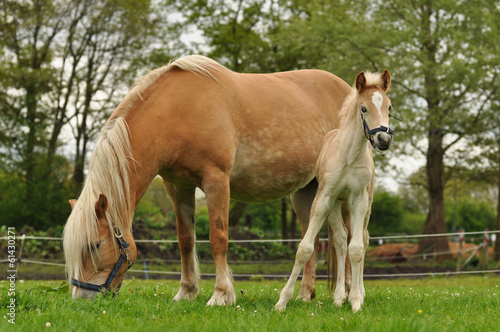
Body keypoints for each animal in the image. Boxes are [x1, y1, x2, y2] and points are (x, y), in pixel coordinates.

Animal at [62, 55, 352, 304]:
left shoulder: (216, 180)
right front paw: (186, 292)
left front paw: (221, 295)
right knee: (310, 238)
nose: (82, 297)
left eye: (94, 245)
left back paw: (348, 292)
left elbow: (218, 237)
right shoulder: (178, 187)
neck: (178, 111)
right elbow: (185, 240)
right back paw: (305, 295)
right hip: (306, 191)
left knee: (347, 237)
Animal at [274, 70, 394, 312]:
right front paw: (282, 301)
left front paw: (356, 300)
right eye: (363, 108)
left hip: (365, 203)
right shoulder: (325, 197)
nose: (383, 140)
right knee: (340, 240)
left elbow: (356, 248)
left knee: (362, 239)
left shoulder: (358, 199)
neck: (349, 155)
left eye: (389, 108)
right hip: (337, 204)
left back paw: (356, 293)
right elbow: (305, 248)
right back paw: (339, 297)